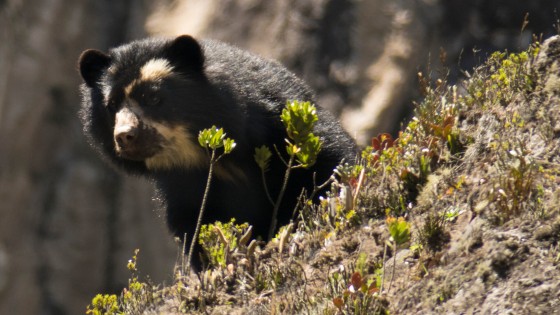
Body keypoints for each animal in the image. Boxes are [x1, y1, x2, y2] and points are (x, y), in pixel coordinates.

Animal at [77, 35, 358, 270]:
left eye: (153, 98)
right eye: (112, 105)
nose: (125, 135)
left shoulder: (282, 125)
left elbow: (330, 161)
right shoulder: (185, 187)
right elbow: (196, 228)